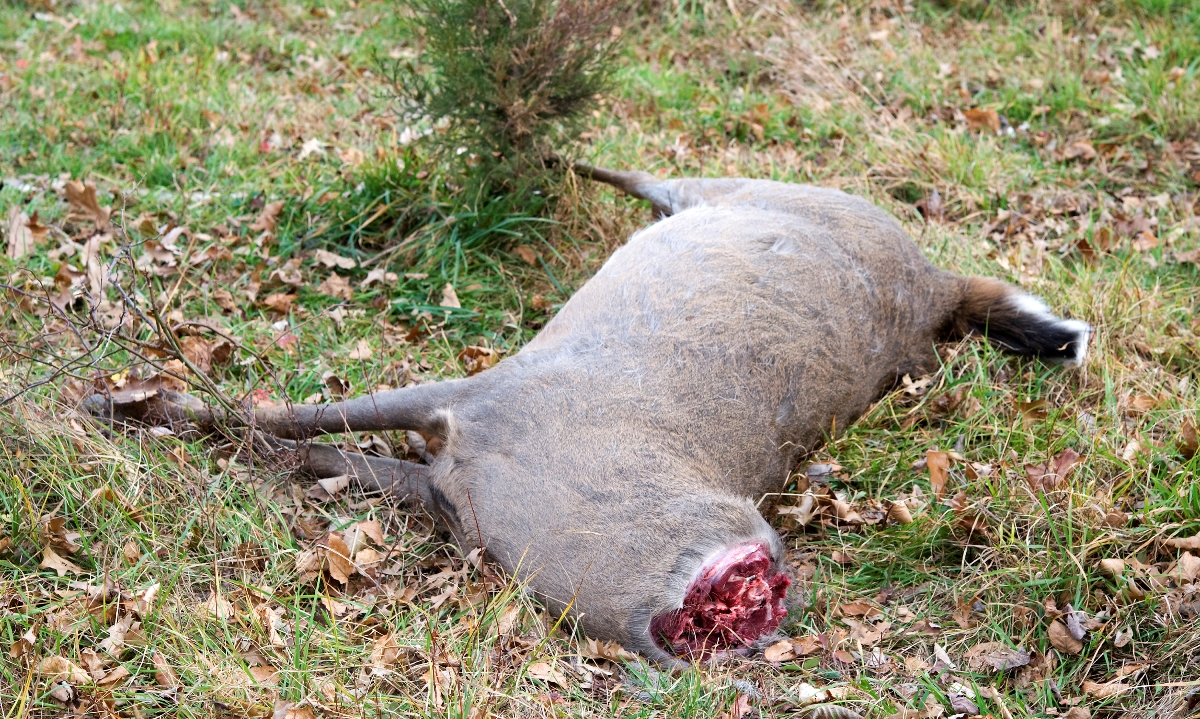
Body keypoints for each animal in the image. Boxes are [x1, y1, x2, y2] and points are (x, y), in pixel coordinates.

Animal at [86, 166, 1091, 664]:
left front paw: (130, 401)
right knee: (664, 172)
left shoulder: (451, 467)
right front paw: (118, 399)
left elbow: (303, 442)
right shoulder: (476, 401)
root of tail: (933, 281)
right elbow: (293, 421)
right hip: (758, 192)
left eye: (763, 519)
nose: (768, 593)